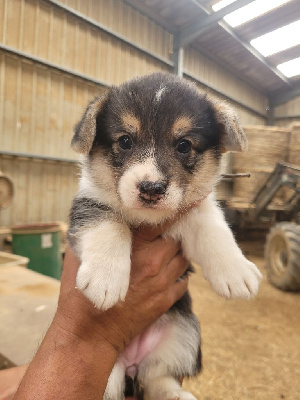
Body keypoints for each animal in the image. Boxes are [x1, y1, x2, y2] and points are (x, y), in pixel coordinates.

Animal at [67, 72, 262, 400]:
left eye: (184, 145)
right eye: (125, 141)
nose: (151, 188)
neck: (148, 221)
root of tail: (132, 361)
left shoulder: (196, 212)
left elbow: (215, 232)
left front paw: (237, 273)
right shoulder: (89, 204)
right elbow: (110, 226)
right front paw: (106, 279)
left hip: (185, 334)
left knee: (158, 377)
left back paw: (178, 395)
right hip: (104, 372)